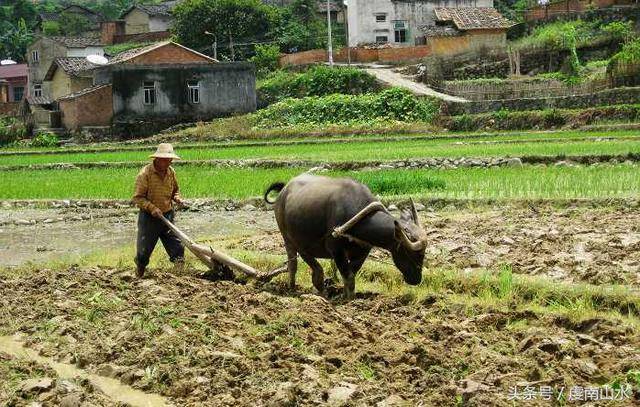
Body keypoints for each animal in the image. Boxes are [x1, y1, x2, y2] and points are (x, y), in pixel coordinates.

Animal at [262, 173, 428, 300]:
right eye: (413, 253)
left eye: (423, 253)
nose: (416, 279)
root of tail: (284, 190)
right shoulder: (336, 250)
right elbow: (347, 275)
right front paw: (347, 299)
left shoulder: (362, 251)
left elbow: (351, 275)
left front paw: (348, 295)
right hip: (288, 238)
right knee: (294, 263)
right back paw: (293, 288)